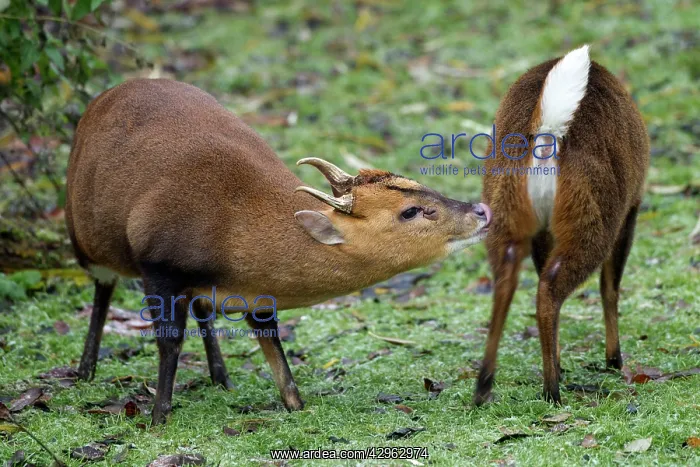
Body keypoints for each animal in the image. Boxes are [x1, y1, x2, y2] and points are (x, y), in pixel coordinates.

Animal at [65, 78, 492, 424]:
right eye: (410, 211)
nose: (481, 211)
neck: (233, 228)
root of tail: (100, 99)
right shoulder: (158, 266)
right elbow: (169, 343)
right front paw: (158, 417)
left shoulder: (256, 293)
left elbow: (273, 344)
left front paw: (296, 405)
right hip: (85, 239)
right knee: (103, 289)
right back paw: (85, 370)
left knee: (201, 308)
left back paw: (221, 377)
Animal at [473, 45, 649, 405]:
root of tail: (547, 135)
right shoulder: (631, 208)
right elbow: (610, 287)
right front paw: (613, 359)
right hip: (594, 219)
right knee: (551, 288)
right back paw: (552, 388)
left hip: (505, 212)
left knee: (508, 280)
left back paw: (484, 386)